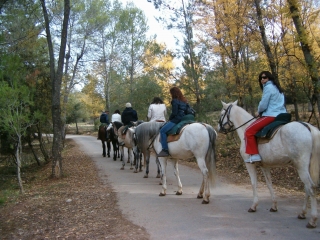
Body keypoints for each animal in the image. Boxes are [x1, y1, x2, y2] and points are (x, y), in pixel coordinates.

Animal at [218, 100, 320, 228]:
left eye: (222, 114)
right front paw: (274, 206)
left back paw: (312, 220)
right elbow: (269, 184)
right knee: (307, 188)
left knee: (310, 187)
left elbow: (254, 183)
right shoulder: (265, 166)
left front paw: (254, 206)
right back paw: (302, 213)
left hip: (301, 166)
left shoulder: (250, 165)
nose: (219, 128)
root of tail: (308, 127)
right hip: (305, 167)